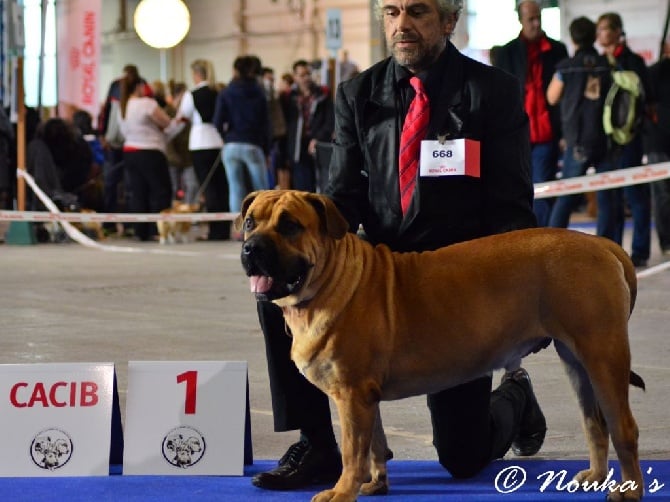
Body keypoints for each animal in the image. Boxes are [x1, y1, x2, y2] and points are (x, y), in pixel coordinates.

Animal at [239, 189, 648, 502]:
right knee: (594, 422)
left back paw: (629, 491)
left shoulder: (351, 395)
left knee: (623, 428)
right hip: (576, 362)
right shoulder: (365, 397)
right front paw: (376, 484)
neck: (329, 281)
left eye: (290, 225)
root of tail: (602, 244)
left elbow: (354, 452)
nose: (250, 249)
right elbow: (374, 443)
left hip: (603, 355)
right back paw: (593, 476)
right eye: (249, 222)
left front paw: (341, 492)